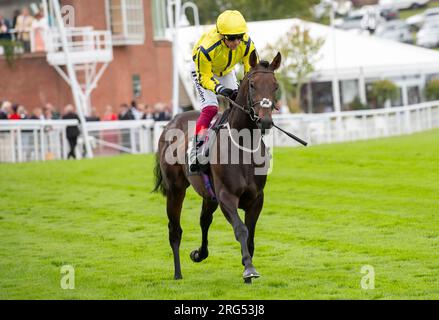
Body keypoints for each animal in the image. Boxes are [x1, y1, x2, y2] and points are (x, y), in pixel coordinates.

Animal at [153, 50, 282, 282]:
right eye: (252, 85)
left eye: (275, 85)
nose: (265, 121)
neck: (243, 144)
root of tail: (171, 123)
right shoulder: (226, 196)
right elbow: (241, 230)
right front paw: (249, 269)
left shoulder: (256, 198)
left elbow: (250, 236)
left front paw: (247, 270)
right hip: (176, 189)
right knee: (175, 230)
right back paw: (177, 274)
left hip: (208, 193)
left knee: (204, 220)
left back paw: (199, 254)